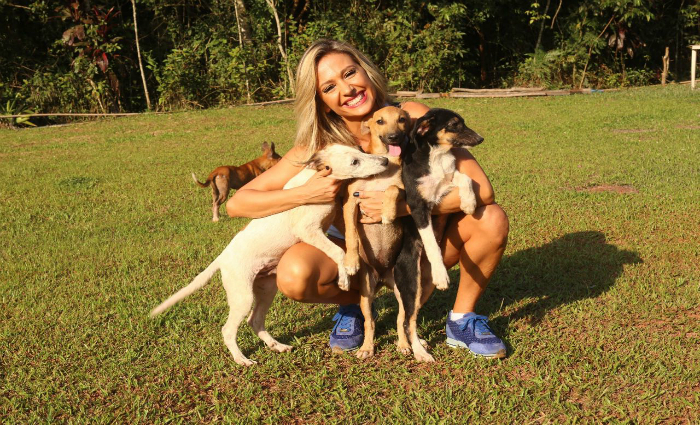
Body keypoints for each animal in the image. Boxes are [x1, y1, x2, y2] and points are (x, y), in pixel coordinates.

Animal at [150, 143, 388, 364]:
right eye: (354, 162)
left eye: (361, 151)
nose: (385, 161)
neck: (314, 176)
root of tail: (222, 258)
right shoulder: (308, 230)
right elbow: (338, 251)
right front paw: (345, 276)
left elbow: (349, 236)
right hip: (242, 296)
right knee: (228, 330)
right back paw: (242, 359)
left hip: (266, 289)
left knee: (254, 321)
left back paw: (277, 345)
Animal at [342, 104, 412, 356]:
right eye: (380, 121)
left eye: (402, 120)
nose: (394, 137)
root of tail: (382, 277)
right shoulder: (351, 202)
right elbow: (351, 235)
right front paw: (351, 261)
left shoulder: (403, 190)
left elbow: (391, 189)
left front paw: (388, 213)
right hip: (366, 293)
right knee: (369, 322)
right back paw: (366, 348)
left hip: (401, 292)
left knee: (401, 320)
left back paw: (404, 345)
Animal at [392, 107, 484, 362]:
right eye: (454, 124)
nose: (481, 139)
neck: (436, 157)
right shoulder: (418, 206)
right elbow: (431, 242)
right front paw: (442, 274)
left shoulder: (445, 185)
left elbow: (465, 177)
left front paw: (470, 203)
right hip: (411, 283)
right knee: (408, 321)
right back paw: (419, 352)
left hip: (421, 290)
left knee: (404, 317)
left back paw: (409, 344)